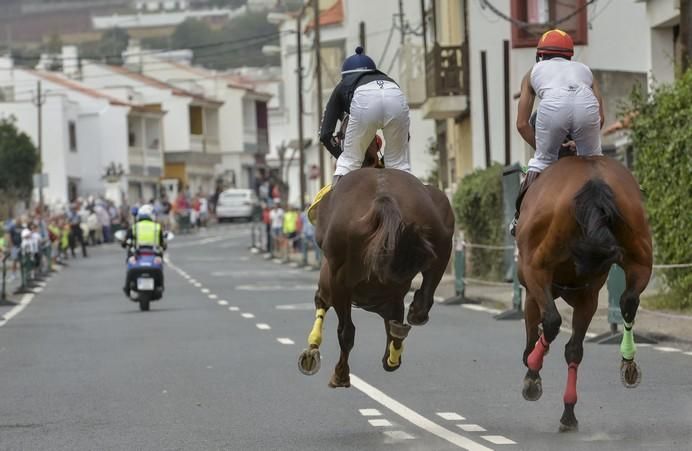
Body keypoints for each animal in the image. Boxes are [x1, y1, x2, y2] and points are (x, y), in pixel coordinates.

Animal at [296, 168, 454, 386]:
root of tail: (382, 195)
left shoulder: (333, 281)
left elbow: (333, 314)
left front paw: (317, 354)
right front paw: (393, 354)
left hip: (339, 277)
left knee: (346, 329)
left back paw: (340, 373)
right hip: (440, 234)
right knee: (423, 300)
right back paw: (409, 321)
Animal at [520, 157, 656, 432]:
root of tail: (593, 179)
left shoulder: (533, 285)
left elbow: (535, 328)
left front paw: (532, 370)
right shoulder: (587, 296)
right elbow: (573, 347)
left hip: (538, 266)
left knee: (552, 322)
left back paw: (534, 370)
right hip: (638, 255)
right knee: (628, 301)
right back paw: (627, 362)